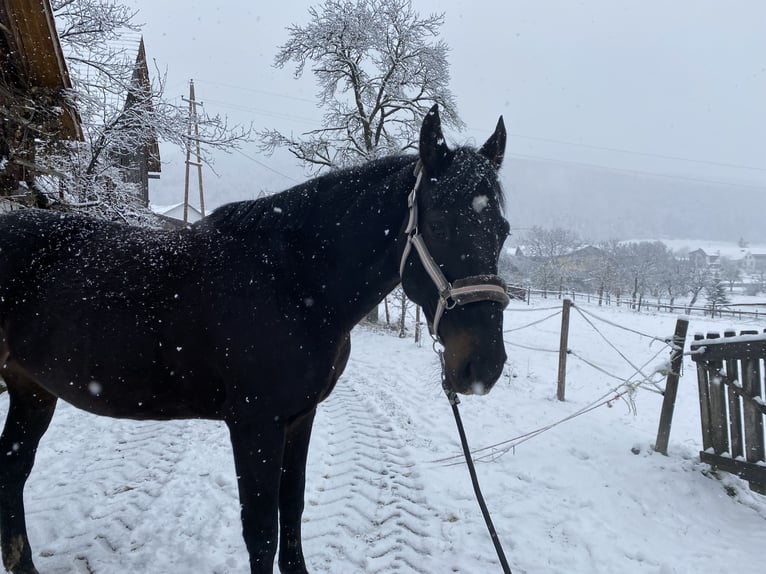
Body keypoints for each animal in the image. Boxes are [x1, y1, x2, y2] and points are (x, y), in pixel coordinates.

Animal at [1, 104, 516, 574]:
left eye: (504, 231)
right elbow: (263, 532)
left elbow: (292, 513)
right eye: (441, 224)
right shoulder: (255, 424)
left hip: (31, 391)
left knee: (13, 469)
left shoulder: (299, 417)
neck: (292, 281)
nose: (483, 366)